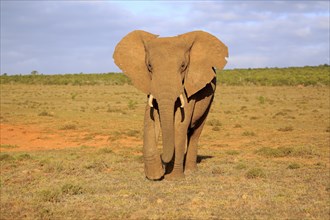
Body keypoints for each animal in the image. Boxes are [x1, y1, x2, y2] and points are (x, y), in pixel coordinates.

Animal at [113, 29, 227, 180]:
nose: (163, 164)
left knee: (195, 132)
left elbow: (179, 123)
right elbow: (150, 119)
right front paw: (155, 176)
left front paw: (173, 177)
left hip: (210, 98)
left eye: (183, 66)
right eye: (149, 66)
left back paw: (190, 170)